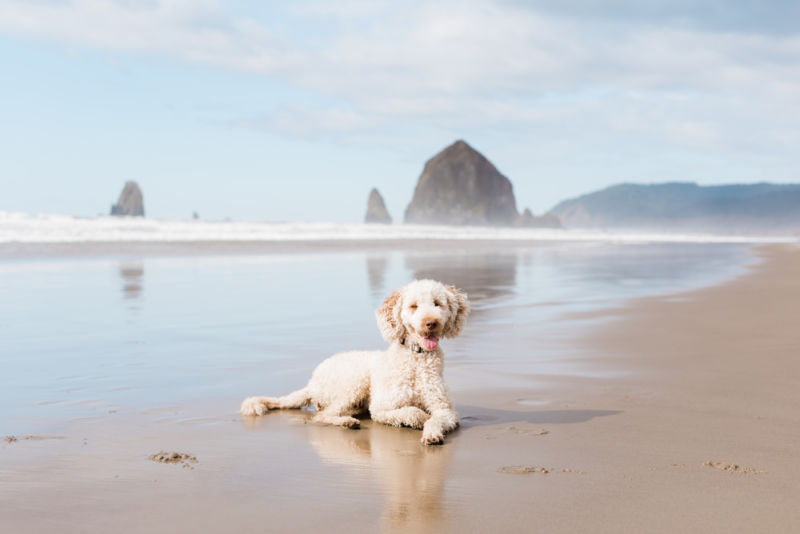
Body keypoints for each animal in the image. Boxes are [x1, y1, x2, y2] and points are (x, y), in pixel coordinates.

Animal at [242, 280, 468, 448]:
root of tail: (311, 382)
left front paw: (431, 433)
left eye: (437, 303)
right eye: (414, 306)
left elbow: (436, 419)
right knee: (322, 415)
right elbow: (410, 411)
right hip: (355, 382)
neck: (416, 359)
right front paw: (420, 418)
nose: (431, 323)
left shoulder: (445, 410)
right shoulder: (382, 407)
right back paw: (346, 422)